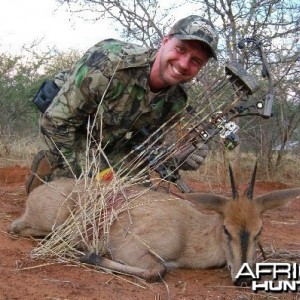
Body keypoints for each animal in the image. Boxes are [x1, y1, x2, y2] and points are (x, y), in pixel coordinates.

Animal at [8, 165, 298, 284]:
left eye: (260, 230)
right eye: (226, 229)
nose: (244, 278)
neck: (190, 231)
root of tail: (37, 192)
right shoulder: (132, 249)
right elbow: (158, 271)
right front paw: (90, 256)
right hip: (48, 224)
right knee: (19, 229)